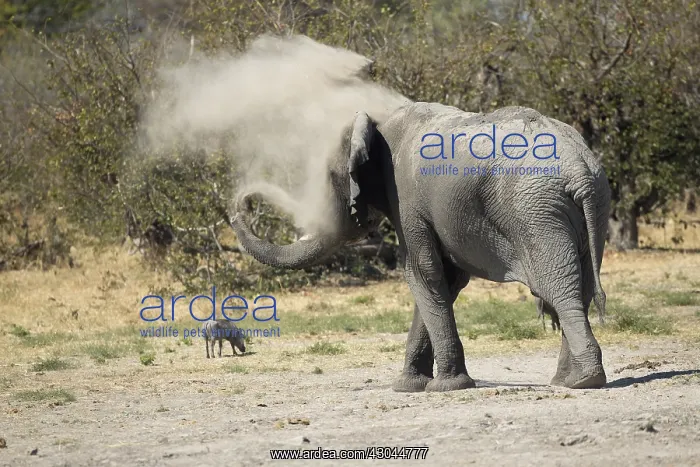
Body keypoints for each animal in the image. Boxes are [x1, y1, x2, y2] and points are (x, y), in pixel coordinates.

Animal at [231, 102, 610, 392]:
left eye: (331, 177)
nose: (243, 204)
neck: (381, 120)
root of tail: (579, 168)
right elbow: (443, 281)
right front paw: (408, 387)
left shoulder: (407, 199)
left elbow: (423, 273)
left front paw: (444, 387)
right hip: (588, 207)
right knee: (581, 287)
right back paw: (567, 381)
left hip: (536, 212)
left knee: (560, 289)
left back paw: (583, 381)